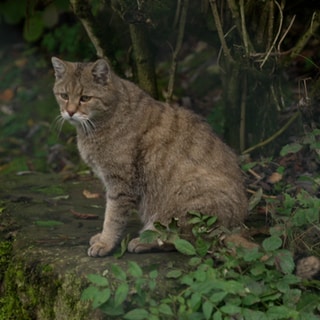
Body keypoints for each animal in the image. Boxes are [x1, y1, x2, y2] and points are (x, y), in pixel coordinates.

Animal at [52, 57, 248, 258]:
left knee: (183, 239)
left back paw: (144, 241)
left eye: (85, 98)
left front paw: (105, 243)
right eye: (64, 95)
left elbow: (112, 217)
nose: (70, 112)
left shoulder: (120, 184)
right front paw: (102, 239)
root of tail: (234, 227)